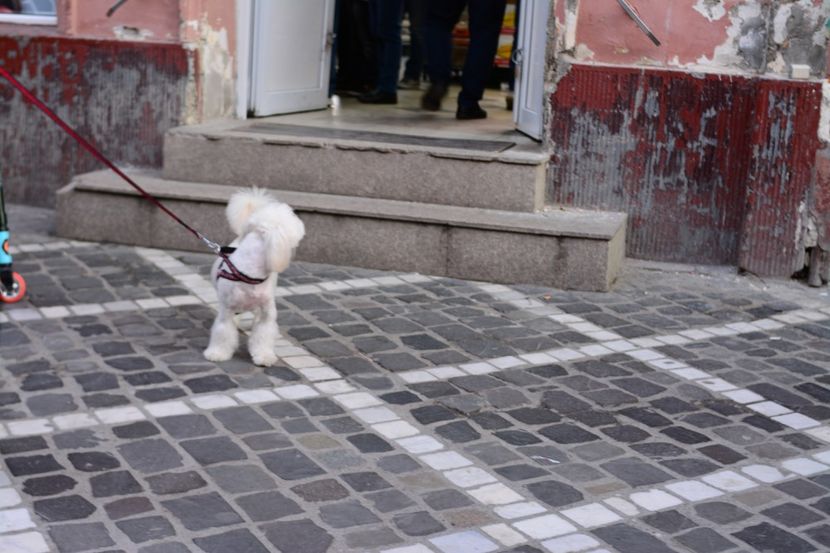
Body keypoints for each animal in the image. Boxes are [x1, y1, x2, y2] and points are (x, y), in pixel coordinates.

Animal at [204, 190, 306, 366]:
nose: (299, 214)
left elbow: (263, 333)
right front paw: (217, 353)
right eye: (293, 217)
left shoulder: (266, 313)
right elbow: (223, 331)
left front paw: (264, 356)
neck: (249, 273)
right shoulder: (227, 311)